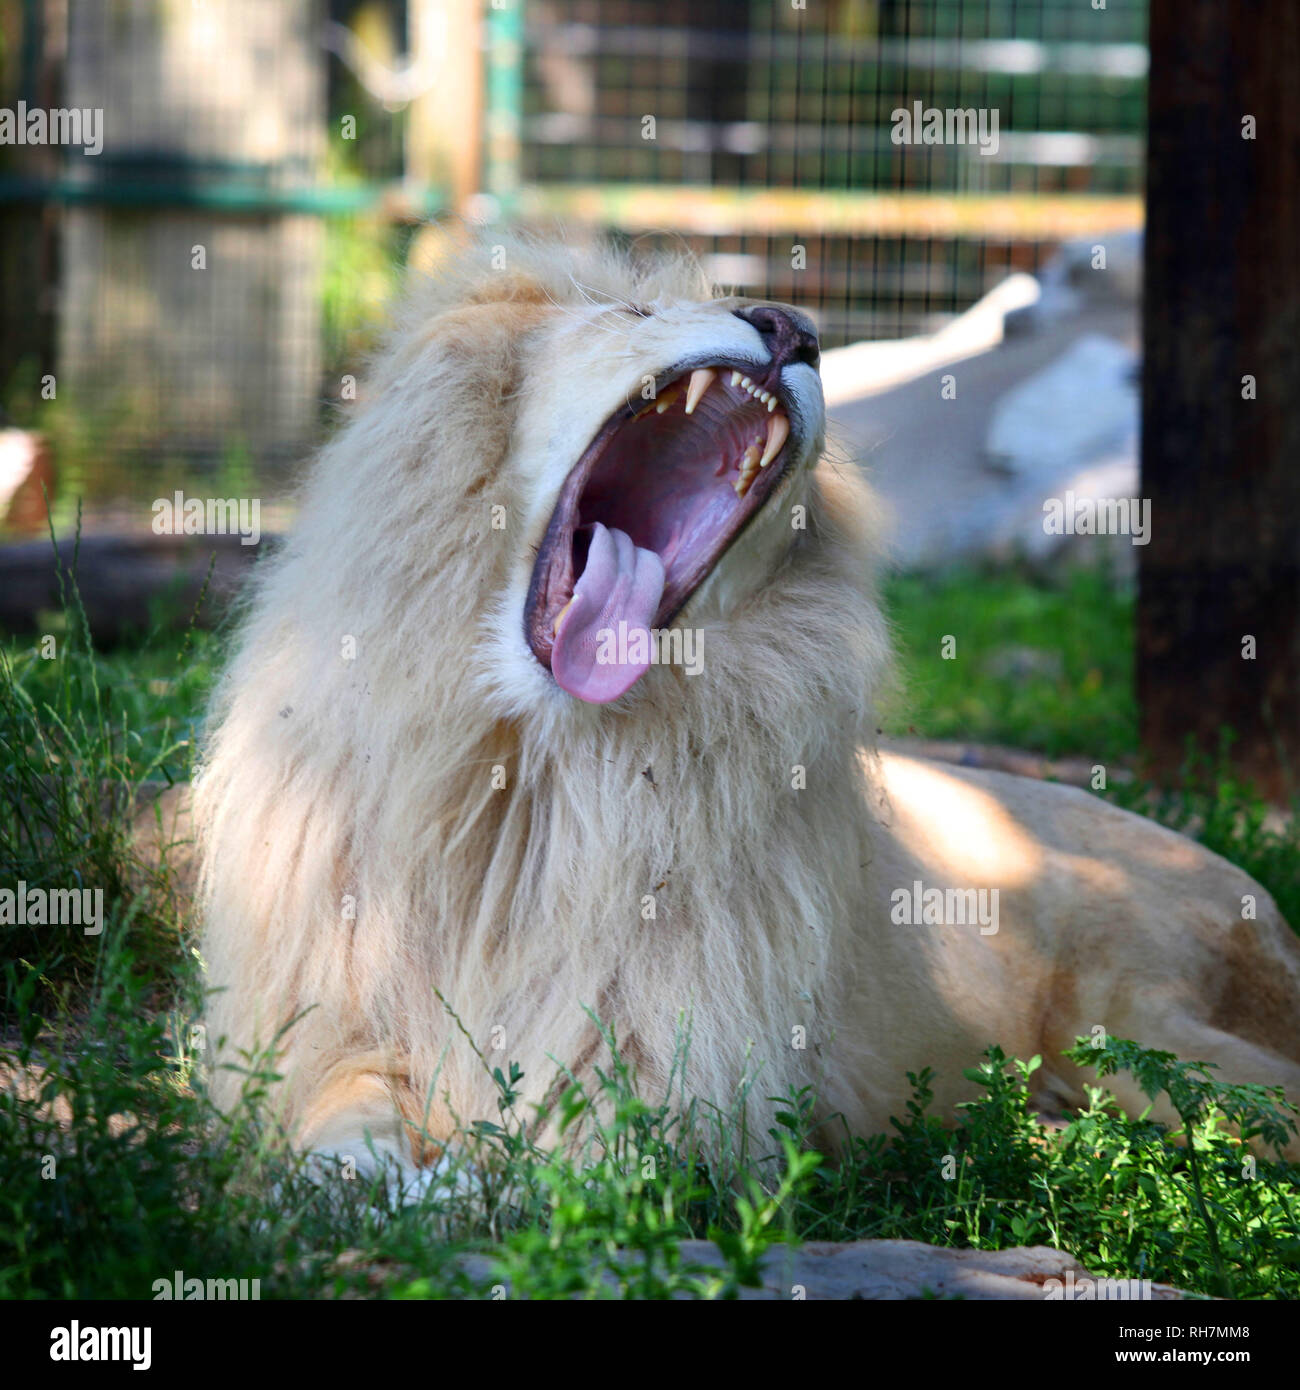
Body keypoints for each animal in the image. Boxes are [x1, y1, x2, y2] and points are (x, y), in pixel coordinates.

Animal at [197, 233, 1300, 1179]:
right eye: (635, 311)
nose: (791, 327)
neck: (531, 775)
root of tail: (1250, 888)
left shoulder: (663, 1082)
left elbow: (553, 1165)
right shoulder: (332, 1019)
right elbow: (340, 1126)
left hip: (1134, 1023)